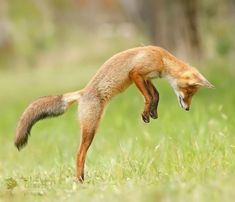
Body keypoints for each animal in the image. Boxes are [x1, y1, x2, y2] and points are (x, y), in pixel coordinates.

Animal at [14, 46, 213, 181]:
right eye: (189, 92)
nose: (187, 108)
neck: (161, 58)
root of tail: (82, 93)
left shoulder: (146, 78)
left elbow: (156, 94)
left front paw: (152, 111)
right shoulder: (136, 74)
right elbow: (149, 96)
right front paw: (147, 110)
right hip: (91, 129)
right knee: (79, 154)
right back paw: (80, 180)